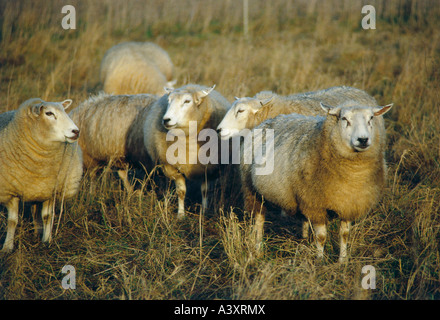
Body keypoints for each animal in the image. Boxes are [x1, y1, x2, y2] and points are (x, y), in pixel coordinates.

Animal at [0, 97, 83, 252]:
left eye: (65, 111)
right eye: (49, 113)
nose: (76, 131)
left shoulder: (50, 189)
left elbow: (48, 216)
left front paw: (47, 241)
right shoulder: (11, 191)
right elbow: (12, 221)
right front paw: (7, 247)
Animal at [144, 84, 234, 219]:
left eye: (187, 101)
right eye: (169, 101)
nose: (166, 120)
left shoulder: (209, 168)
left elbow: (205, 191)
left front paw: (204, 212)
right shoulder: (173, 168)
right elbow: (181, 192)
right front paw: (181, 215)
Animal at [241, 100, 396, 262]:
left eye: (371, 118)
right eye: (344, 119)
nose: (363, 139)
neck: (354, 175)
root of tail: (269, 120)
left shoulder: (348, 204)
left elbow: (344, 235)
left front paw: (342, 260)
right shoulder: (316, 204)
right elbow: (321, 237)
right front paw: (320, 260)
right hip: (251, 189)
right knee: (258, 221)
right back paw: (257, 250)